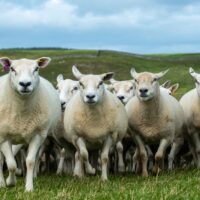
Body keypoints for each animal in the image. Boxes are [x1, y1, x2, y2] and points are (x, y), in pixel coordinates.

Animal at [0, 57, 61, 191]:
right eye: (12, 69)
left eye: (36, 69)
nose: (25, 84)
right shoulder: (3, 136)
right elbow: (11, 164)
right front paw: (10, 182)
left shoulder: (37, 135)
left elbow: (30, 161)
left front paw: (29, 187)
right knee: (1, 160)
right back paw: (1, 183)